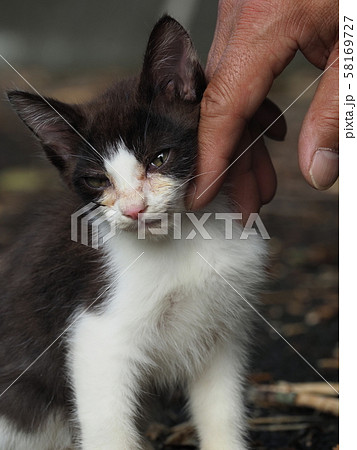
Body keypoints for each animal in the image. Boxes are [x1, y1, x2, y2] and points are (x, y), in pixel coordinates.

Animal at [1, 15, 264, 450]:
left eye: (159, 158)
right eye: (96, 180)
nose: (133, 209)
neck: (183, 236)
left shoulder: (222, 328)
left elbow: (222, 411)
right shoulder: (96, 336)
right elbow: (109, 429)